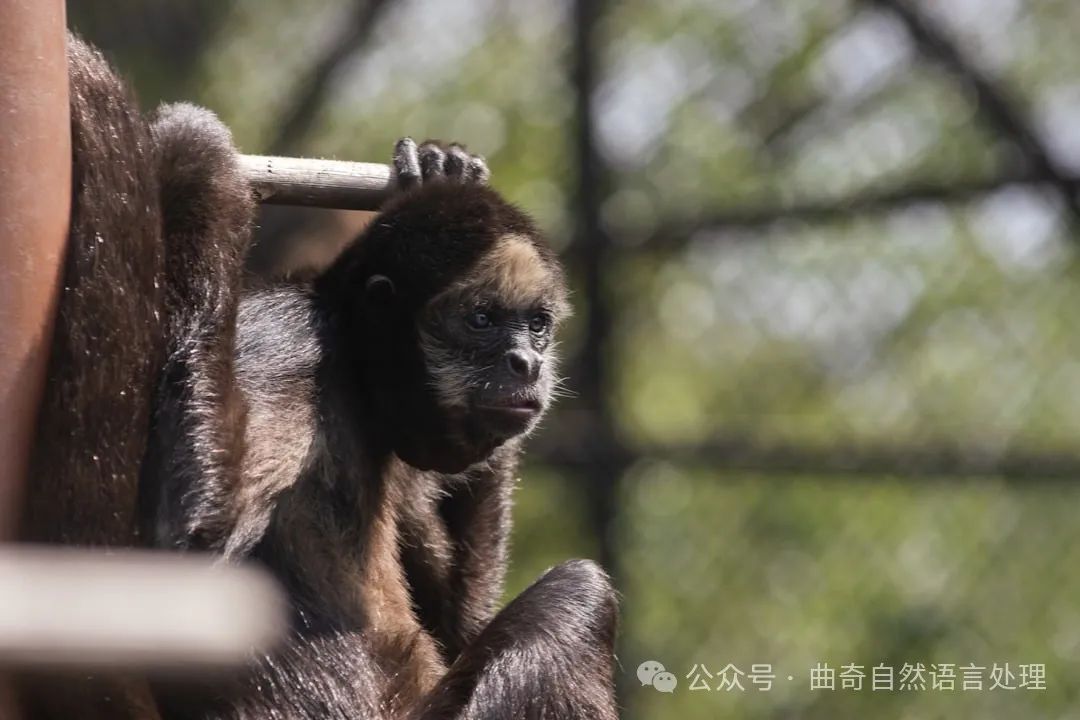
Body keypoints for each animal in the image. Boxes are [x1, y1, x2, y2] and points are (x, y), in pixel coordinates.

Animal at [19, 31, 618, 720]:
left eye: (537, 326)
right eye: (482, 320)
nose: (527, 362)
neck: (354, 381)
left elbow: (458, 626)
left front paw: (437, 167)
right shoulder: (288, 342)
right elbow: (182, 554)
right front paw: (203, 162)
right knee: (581, 591)